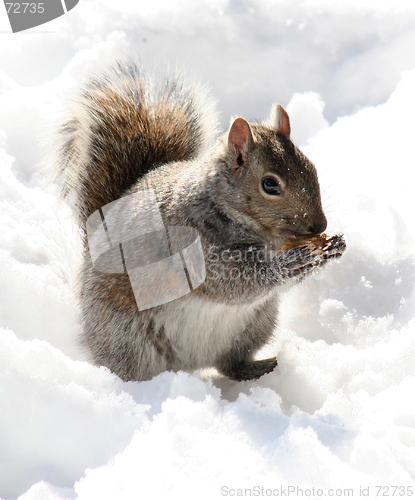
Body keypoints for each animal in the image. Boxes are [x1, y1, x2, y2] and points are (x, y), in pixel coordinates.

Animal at [54, 58, 348, 382]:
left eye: (312, 168)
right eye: (270, 185)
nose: (319, 226)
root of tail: (189, 364)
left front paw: (334, 247)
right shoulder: (193, 244)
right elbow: (236, 281)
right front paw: (293, 261)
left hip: (256, 324)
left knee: (229, 364)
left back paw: (258, 368)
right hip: (125, 337)